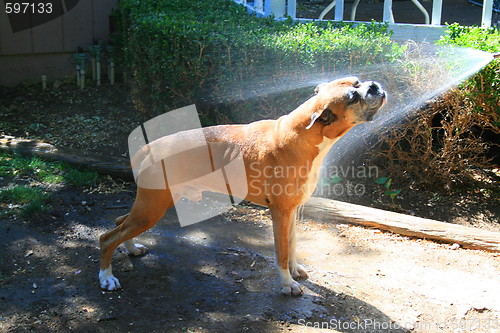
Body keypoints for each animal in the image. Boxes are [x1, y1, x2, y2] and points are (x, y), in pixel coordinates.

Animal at [98, 76, 386, 294]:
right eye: (352, 97)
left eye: (358, 82)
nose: (374, 85)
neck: (301, 134)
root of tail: (150, 146)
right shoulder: (280, 213)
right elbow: (282, 252)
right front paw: (287, 284)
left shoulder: (291, 212)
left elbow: (292, 246)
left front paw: (294, 271)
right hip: (153, 208)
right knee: (107, 237)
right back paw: (106, 277)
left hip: (150, 206)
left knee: (120, 223)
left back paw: (132, 248)